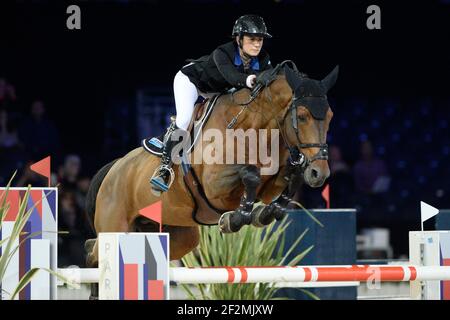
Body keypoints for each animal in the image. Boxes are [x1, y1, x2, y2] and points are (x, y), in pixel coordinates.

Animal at [84, 61, 338, 284]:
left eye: (330, 117)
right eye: (302, 116)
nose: (320, 173)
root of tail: (114, 168)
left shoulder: (270, 185)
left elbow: (289, 179)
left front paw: (264, 214)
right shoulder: (214, 185)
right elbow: (250, 174)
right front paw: (233, 219)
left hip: (177, 234)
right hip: (116, 225)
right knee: (95, 252)